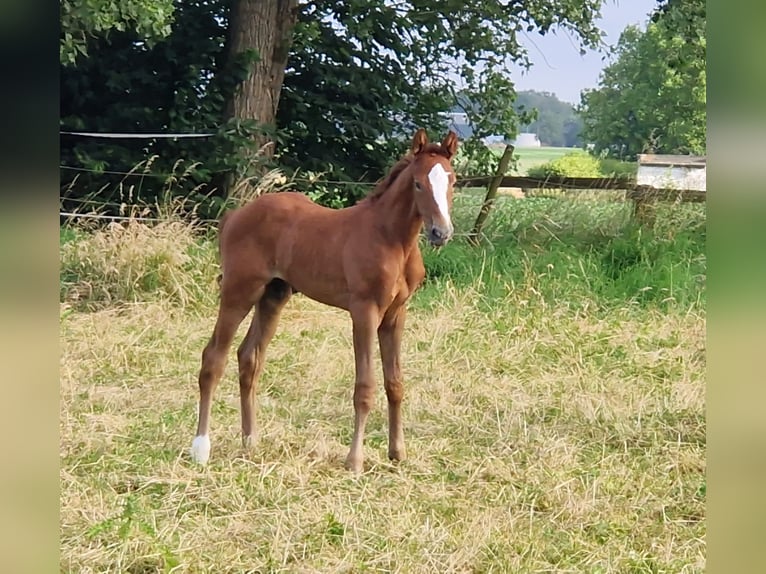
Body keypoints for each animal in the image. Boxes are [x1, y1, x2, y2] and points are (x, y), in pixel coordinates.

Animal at [192, 128, 460, 474]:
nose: (441, 232)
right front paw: (354, 461)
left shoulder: (396, 314)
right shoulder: (364, 311)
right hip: (240, 291)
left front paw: (397, 452)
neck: (391, 239)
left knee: (249, 357)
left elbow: (395, 383)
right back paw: (201, 448)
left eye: (452, 181)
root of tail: (235, 215)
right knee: (213, 358)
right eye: (417, 183)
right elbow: (365, 387)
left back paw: (250, 441)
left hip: (273, 295)